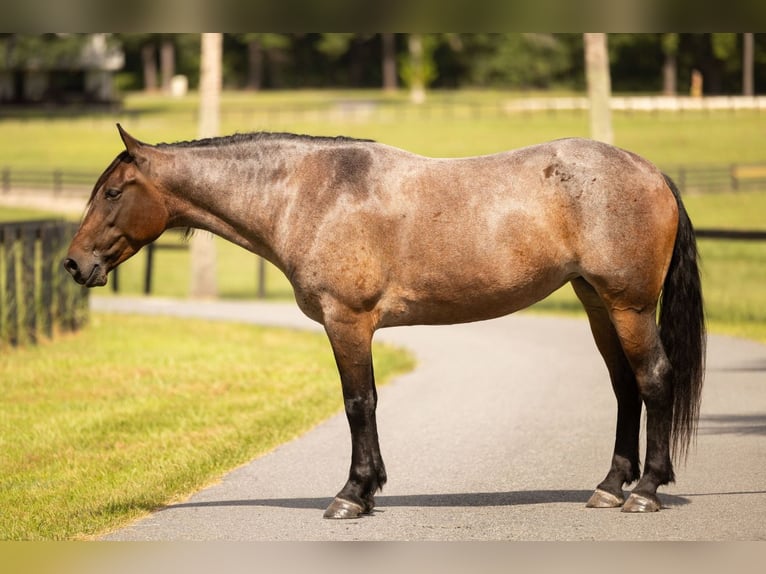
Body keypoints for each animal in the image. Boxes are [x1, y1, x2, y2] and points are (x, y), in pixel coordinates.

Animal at [64, 125, 705, 518]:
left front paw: (354, 493)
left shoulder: (346, 322)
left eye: (113, 191)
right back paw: (611, 487)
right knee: (624, 387)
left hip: (627, 306)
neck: (309, 193)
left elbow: (359, 403)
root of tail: (652, 173)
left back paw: (647, 490)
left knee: (653, 380)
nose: (75, 263)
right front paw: (366, 491)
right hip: (598, 303)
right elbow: (364, 403)